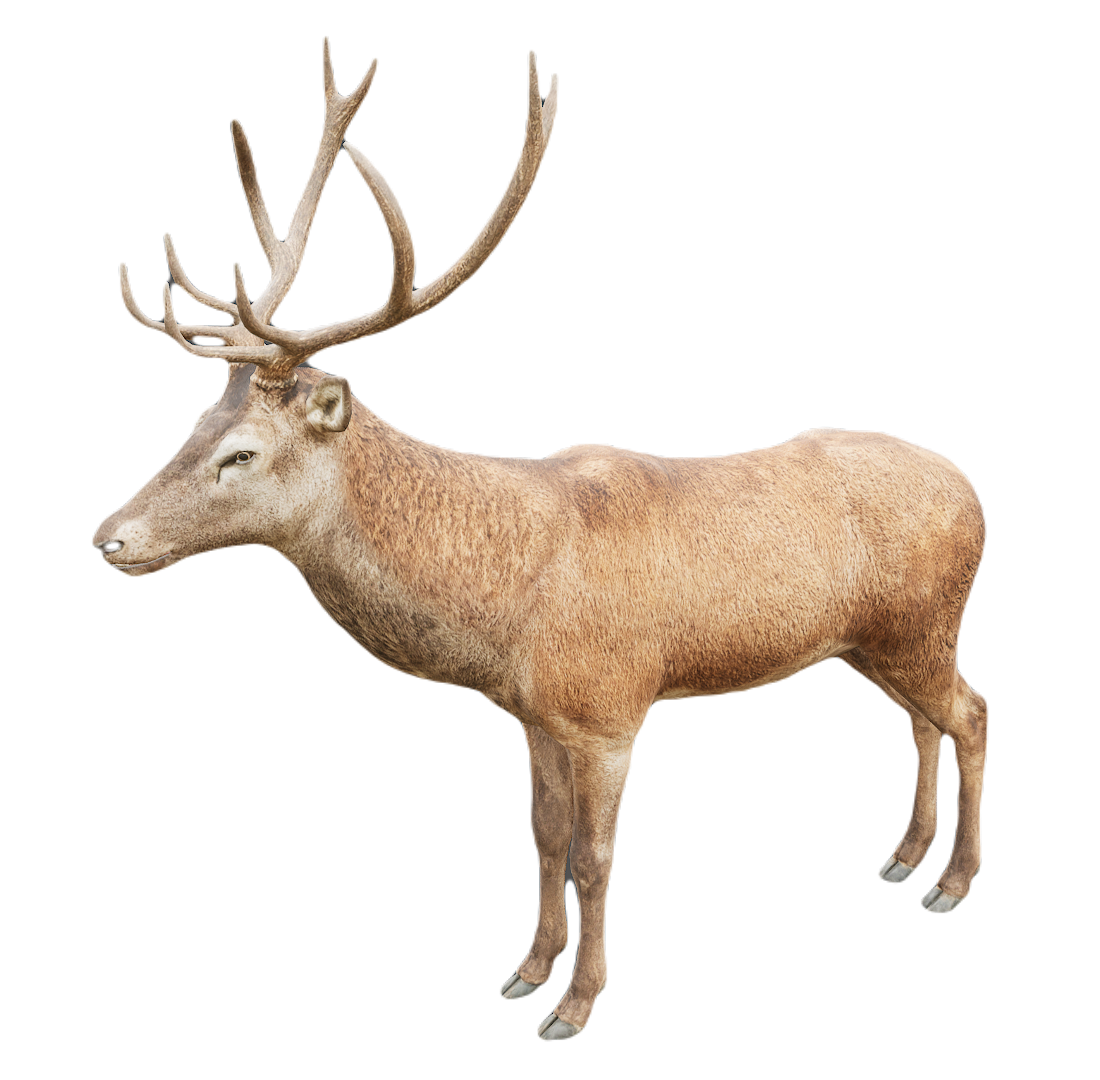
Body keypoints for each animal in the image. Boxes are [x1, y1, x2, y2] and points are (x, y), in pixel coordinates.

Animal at [92, 38, 988, 1042]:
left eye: (240, 453)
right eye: (194, 424)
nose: (109, 538)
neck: (507, 603)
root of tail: (970, 487)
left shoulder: (611, 706)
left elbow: (596, 859)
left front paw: (576, 1004)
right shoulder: (531, 712)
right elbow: (543, 836)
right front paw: (526, 971)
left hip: (926, 622)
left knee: (972, 710)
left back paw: (951, 882)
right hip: (872, 642)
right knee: (921, 718)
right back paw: (904, 856)